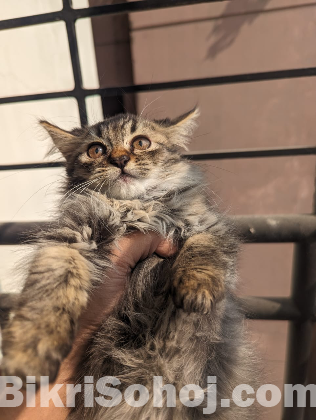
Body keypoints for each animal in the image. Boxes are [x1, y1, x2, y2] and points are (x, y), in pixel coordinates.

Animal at [1, 110, 258, 418]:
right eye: (96, 150)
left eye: (141, 143)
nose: (121, 160)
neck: (135, 208)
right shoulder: (71, 239)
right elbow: (48, 290)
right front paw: (29, 350)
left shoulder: (207, 226)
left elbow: (201, 251)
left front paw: (196, 290)